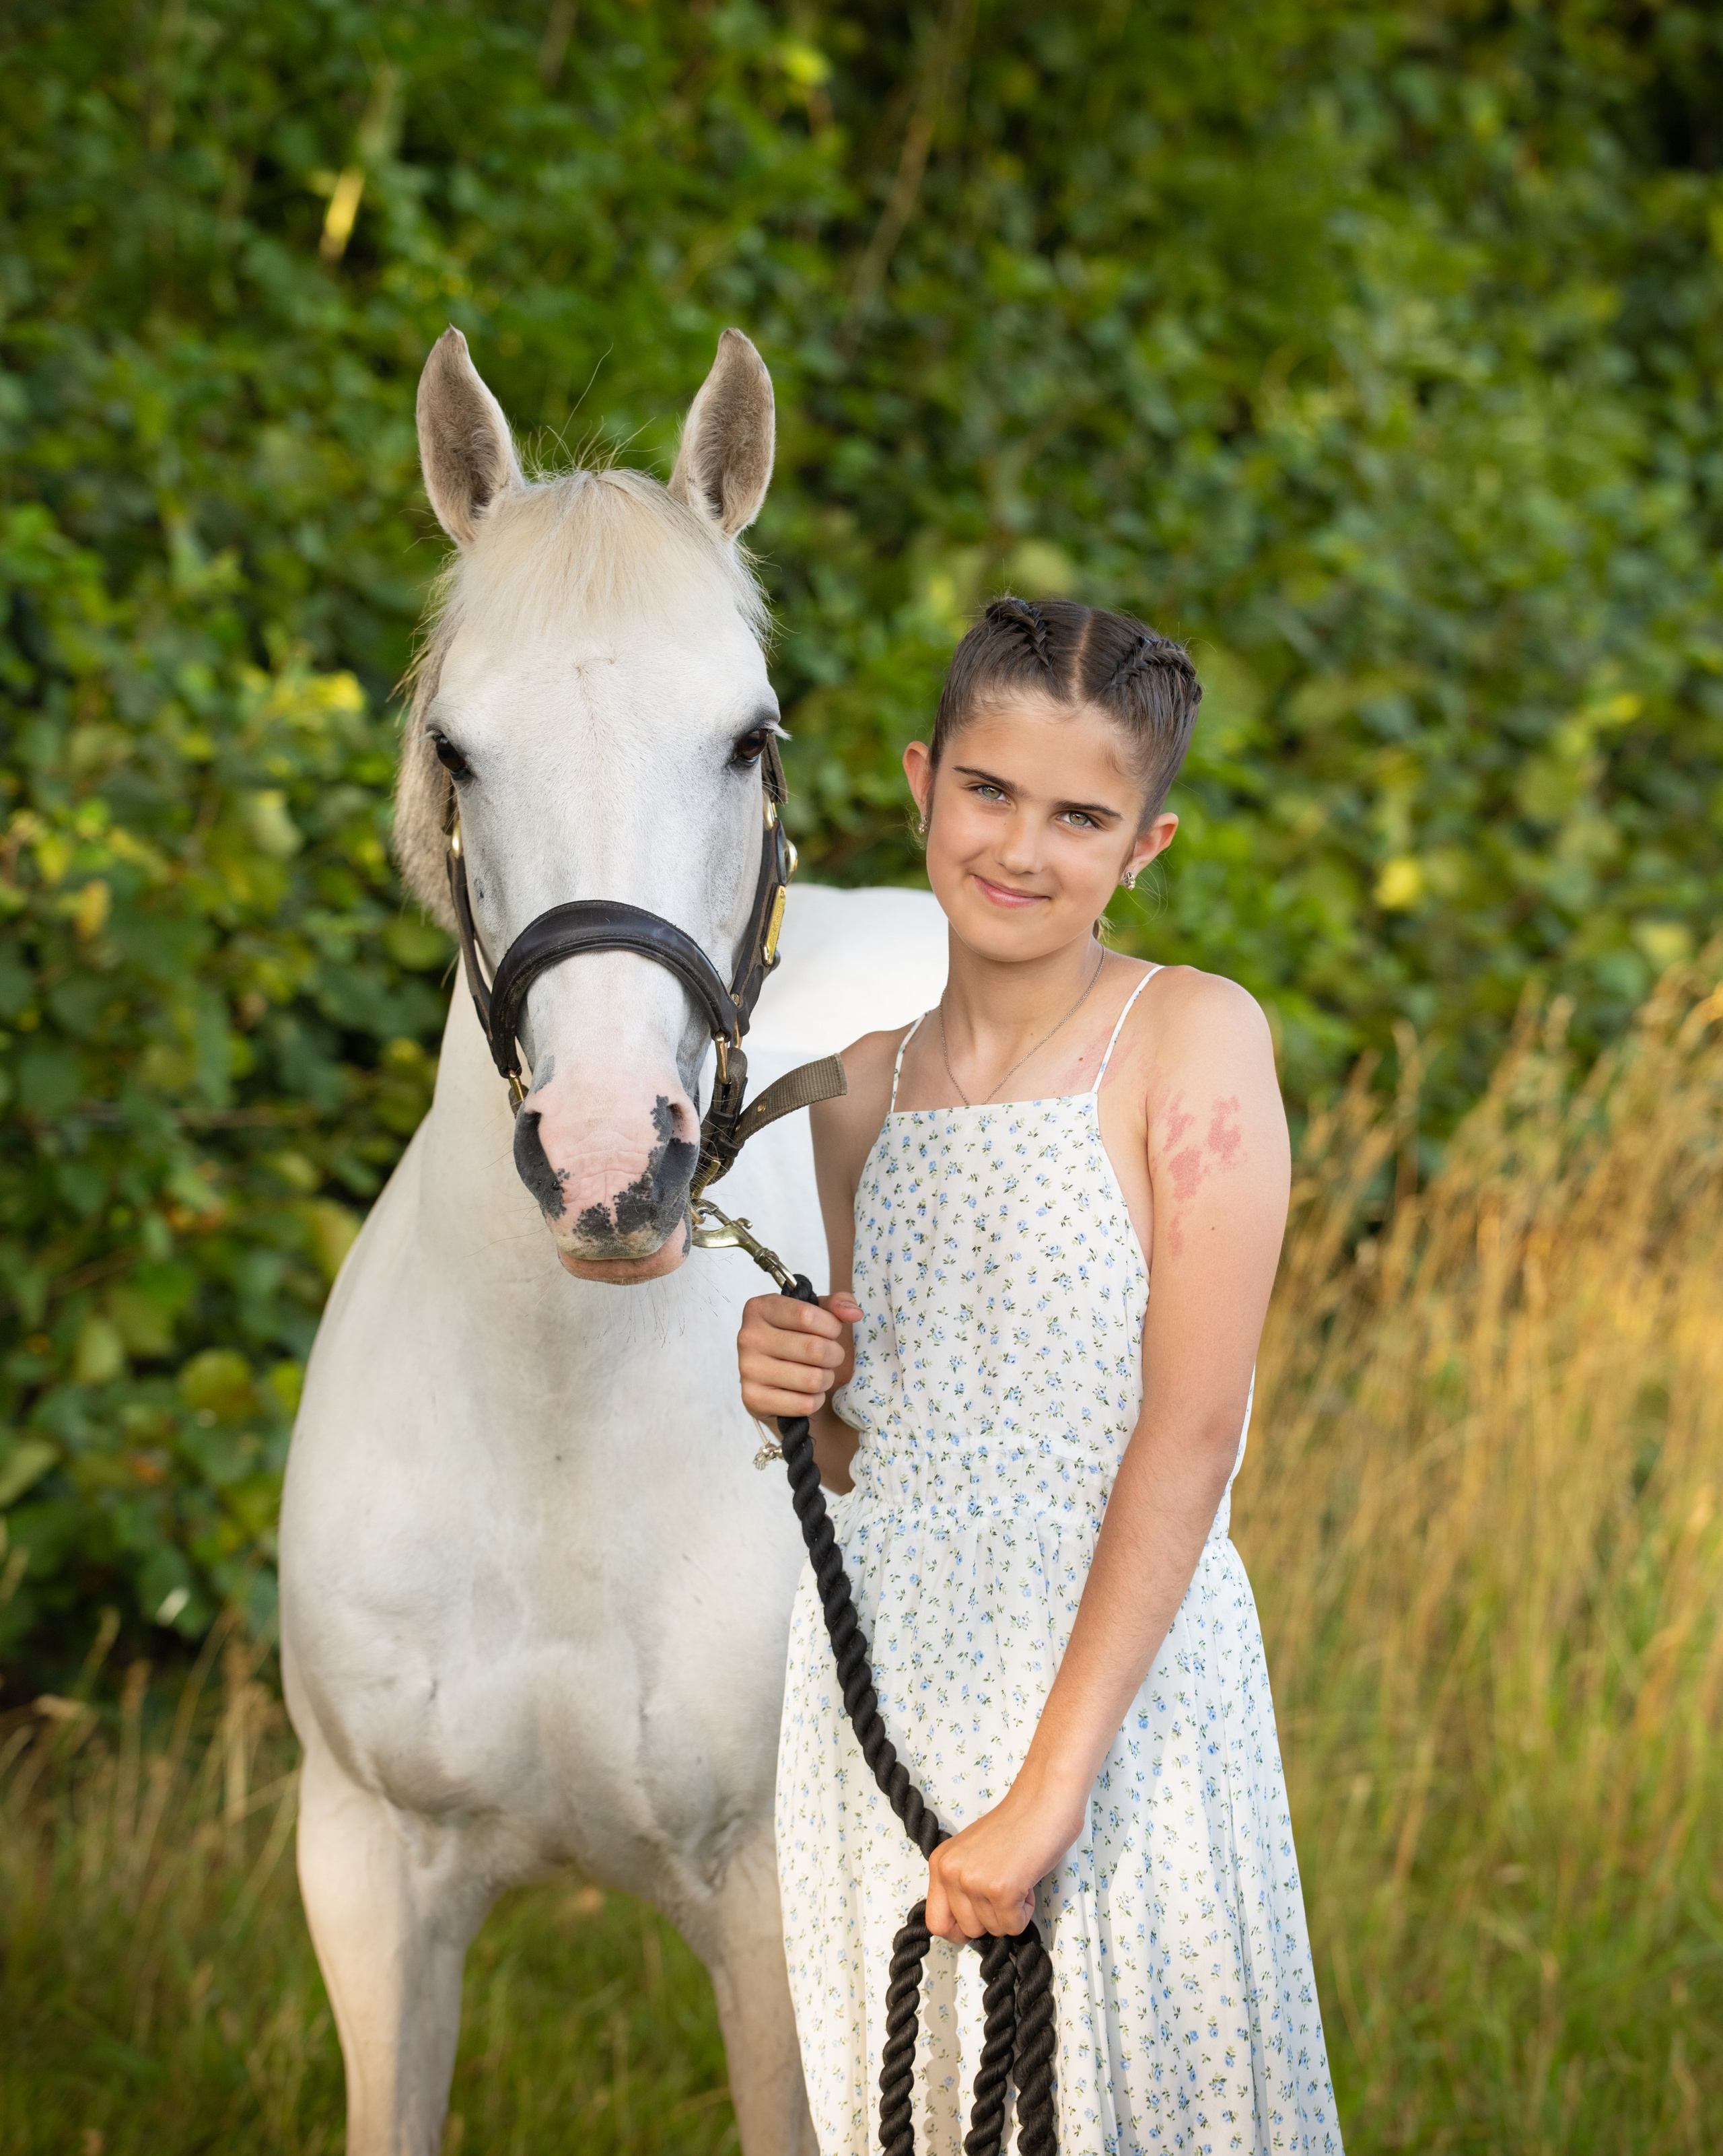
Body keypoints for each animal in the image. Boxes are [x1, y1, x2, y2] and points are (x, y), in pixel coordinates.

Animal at [278, 325, 946, 2156]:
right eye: (455, 746)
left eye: (746, 736)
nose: (604, 1166)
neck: (557, 1432)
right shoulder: (369, 1880)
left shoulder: (775, 1917)